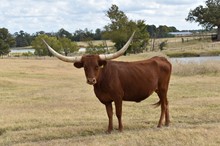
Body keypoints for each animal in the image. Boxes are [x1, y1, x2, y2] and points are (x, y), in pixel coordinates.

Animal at [42, 32, 172, 133]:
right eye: (85, 67)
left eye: (96, 66)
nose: (91, 80)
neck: (102, 82)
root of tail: (162, 58)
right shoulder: (106, 100)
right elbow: (109, 114)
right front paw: (109, 130)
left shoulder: (118, 97)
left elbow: (118, 113)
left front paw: (120, 129)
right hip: (160, 90)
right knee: (166, 103)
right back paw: (167, 123)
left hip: (162, 88)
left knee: (163, 105)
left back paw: (160, 124)